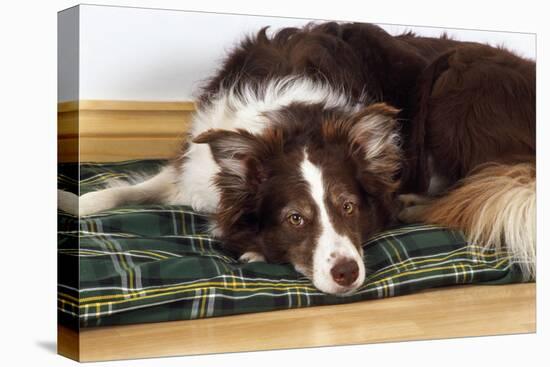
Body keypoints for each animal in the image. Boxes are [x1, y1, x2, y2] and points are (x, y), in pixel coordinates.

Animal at [59, 21, 536, 296]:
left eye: (350, 207)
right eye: (295, 218)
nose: (347, 273)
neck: (289, 119)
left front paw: (253, 251)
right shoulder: (193, 165)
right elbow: (120, 192)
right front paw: (73, 202)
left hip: (456, 80)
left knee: (474, 190)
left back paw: (416, 205)